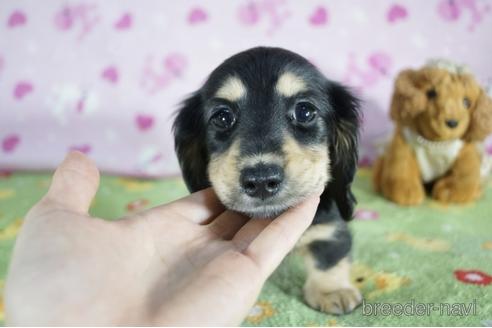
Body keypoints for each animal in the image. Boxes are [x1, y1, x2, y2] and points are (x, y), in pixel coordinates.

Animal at [173, 45, 362, 312]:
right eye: (222, 117)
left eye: (305, 111)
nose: (261, 181)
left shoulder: (330, 225)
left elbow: (330, 254)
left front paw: (332, 290)